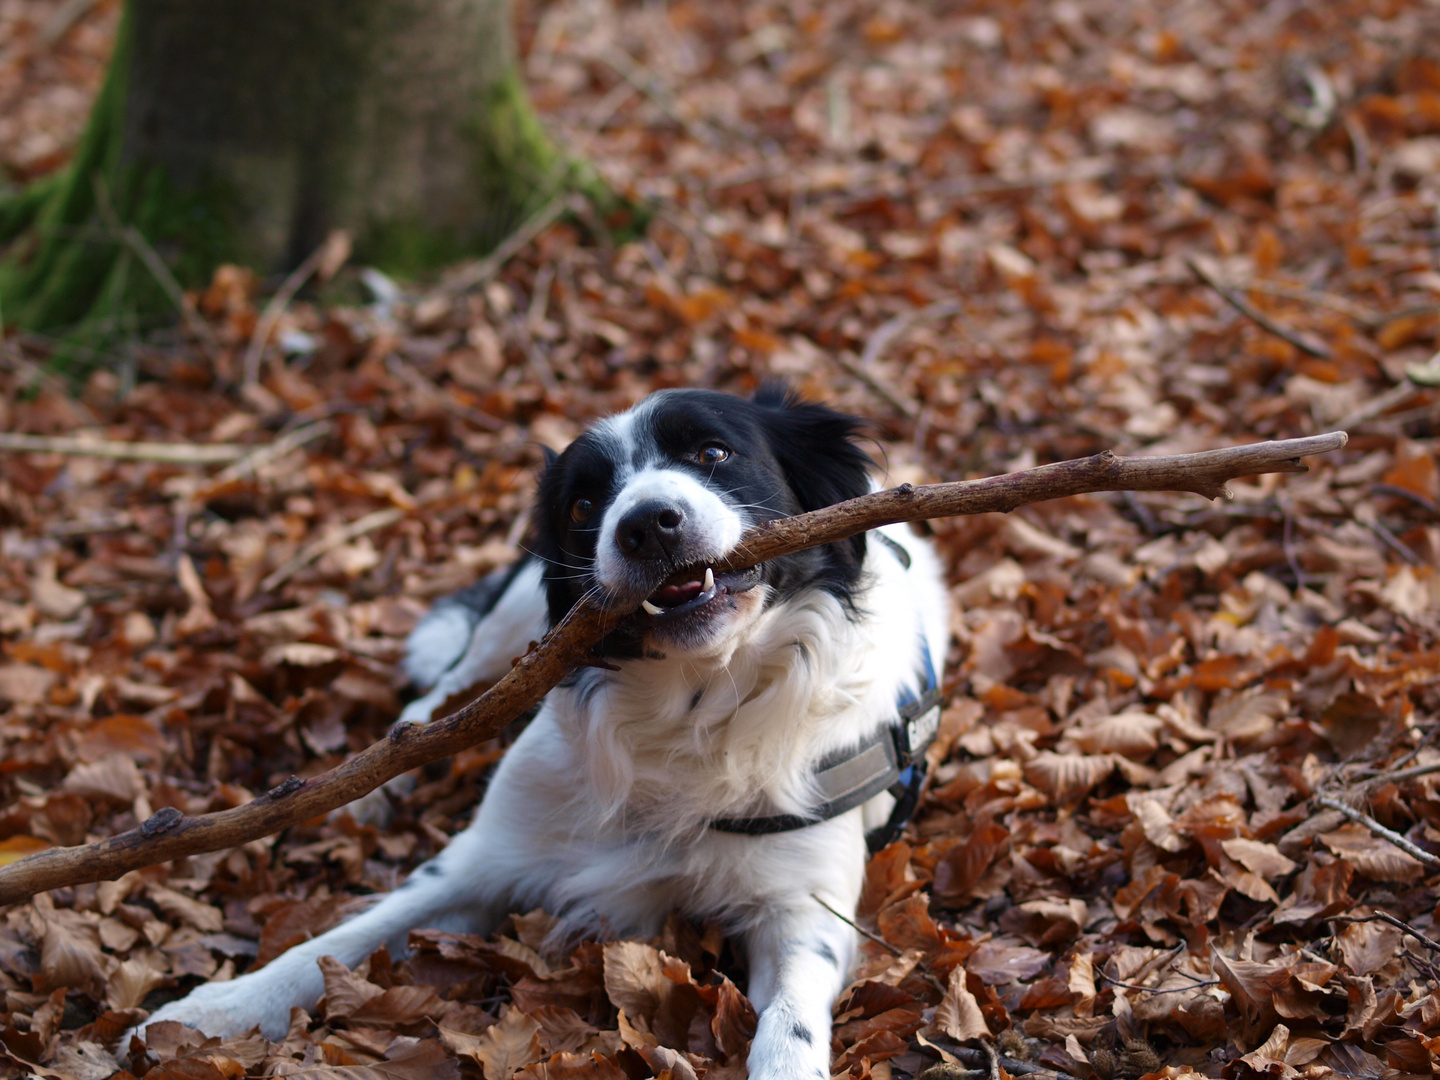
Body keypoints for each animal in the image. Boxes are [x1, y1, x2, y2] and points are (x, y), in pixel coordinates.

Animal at [140, 385, 950, 1080]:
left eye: (714, 453)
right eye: (584, 503)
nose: (646, 524)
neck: (691, 707)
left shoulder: (801, 910)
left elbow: (790, 1022)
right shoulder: (487, 857)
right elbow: (337, 942)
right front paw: (212, 1011)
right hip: (504, 631)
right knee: (434, 705)